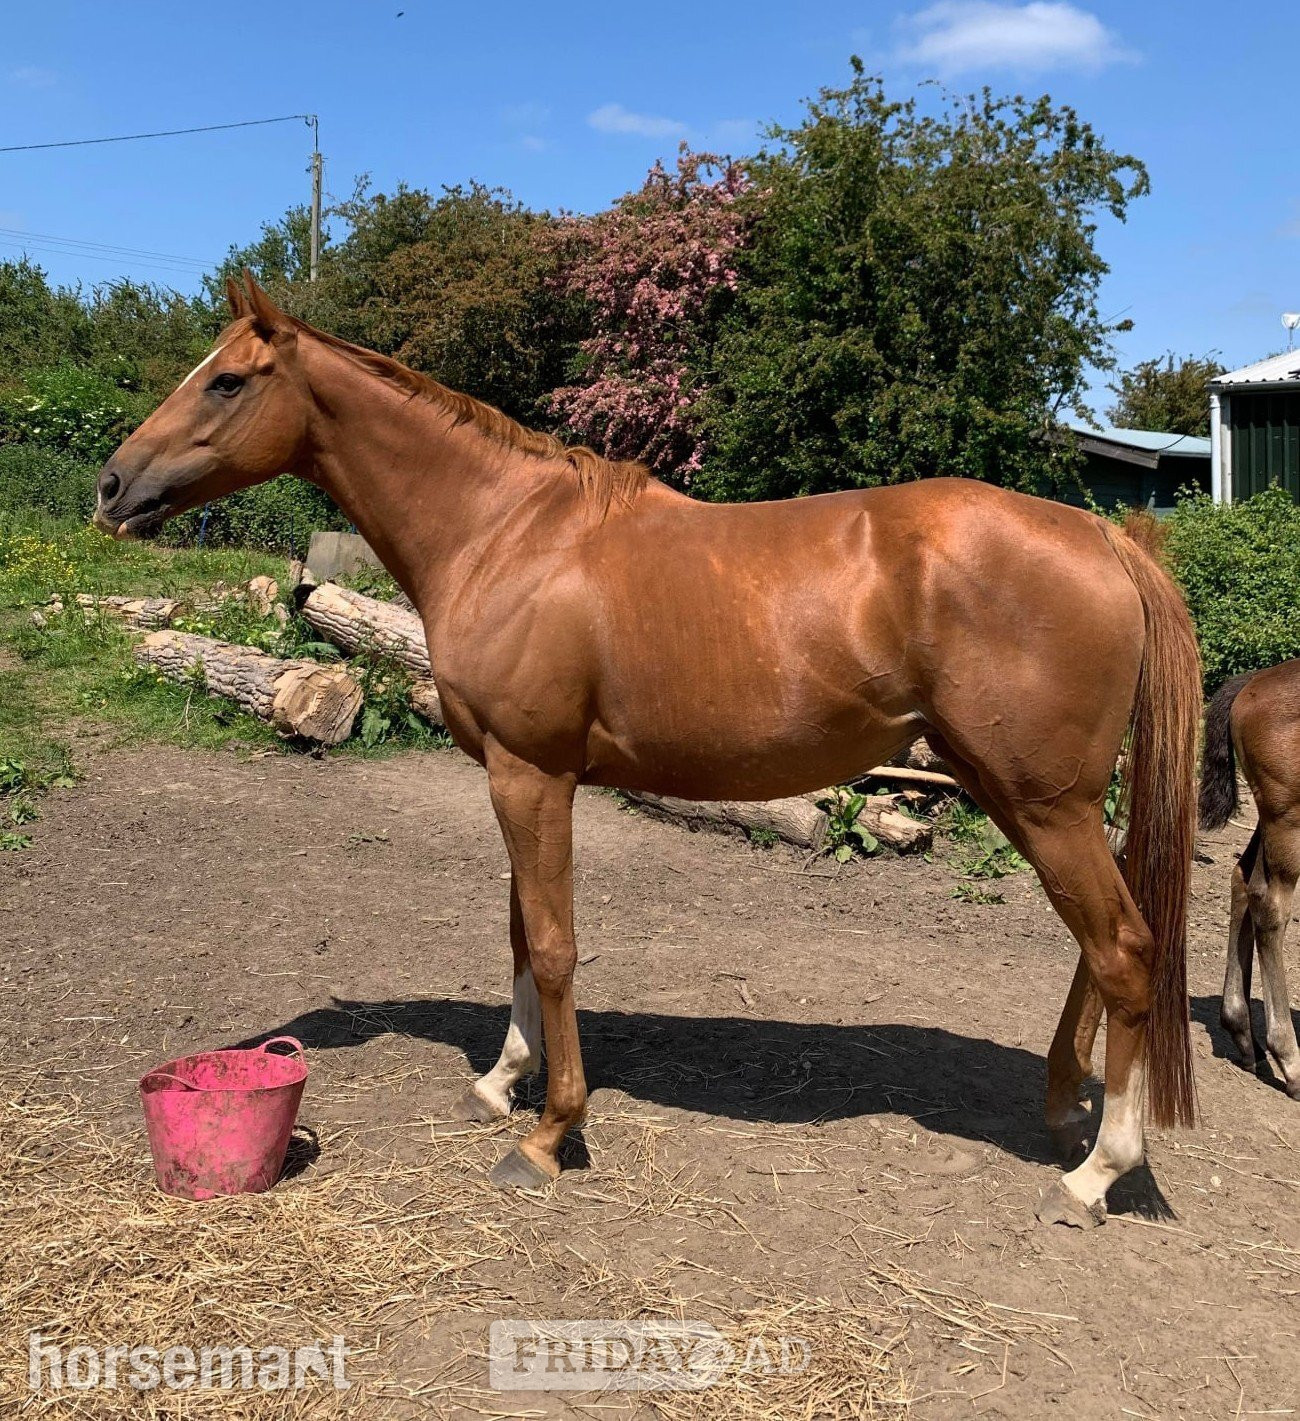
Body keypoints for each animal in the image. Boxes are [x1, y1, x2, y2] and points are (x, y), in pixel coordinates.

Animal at [94, 273, 1201, 1226]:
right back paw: (1065, 1105)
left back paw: (1096, 1171)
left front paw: (548, 1133)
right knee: (1097, 947)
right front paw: (501, 1082)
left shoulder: (530, 774)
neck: (506, 533)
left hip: (1042, 802)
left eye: (227, 379)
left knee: (1125, 950)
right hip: (1021, 794)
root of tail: (1107, 539)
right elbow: (519, 936)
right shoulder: (522, 776)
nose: (111, 485)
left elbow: (552, 944)